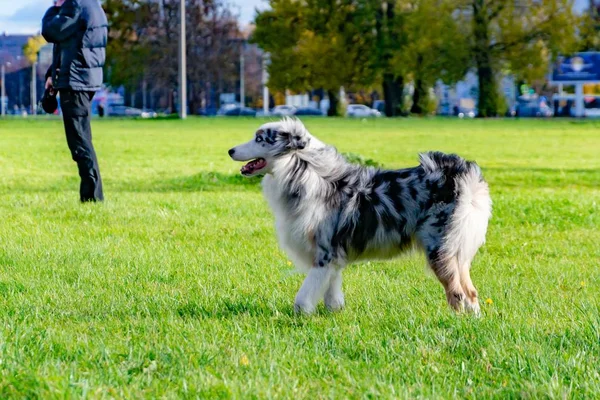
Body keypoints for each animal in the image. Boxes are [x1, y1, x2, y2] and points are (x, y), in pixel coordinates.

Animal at [227, 117, 490, 314]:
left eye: (259, 139)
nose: (230, 150)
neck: (306, 175)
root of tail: (463, 178)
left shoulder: (324, 253)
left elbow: (303, 297)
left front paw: (300, 316)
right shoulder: (333, 259)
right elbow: (332, 294)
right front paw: (334, 314)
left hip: (439, 250)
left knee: (457, 294)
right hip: (458, 253)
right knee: (472, 293)